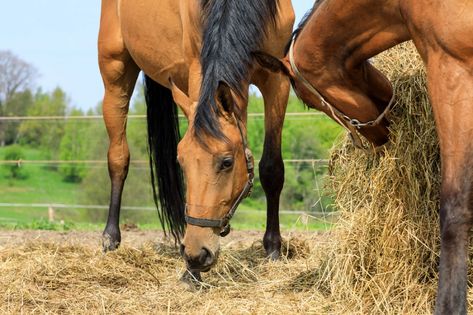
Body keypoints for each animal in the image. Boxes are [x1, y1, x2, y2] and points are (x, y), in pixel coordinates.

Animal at [97, 0, 294, 276]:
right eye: (182, 162)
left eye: (227, 162)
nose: (195, 254)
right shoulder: (197, 67)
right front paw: (190, 274)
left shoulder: (277, 80)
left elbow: (272, 169)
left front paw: (274, 249)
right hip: (115, 73)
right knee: (118, 159)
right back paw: (110, 238)